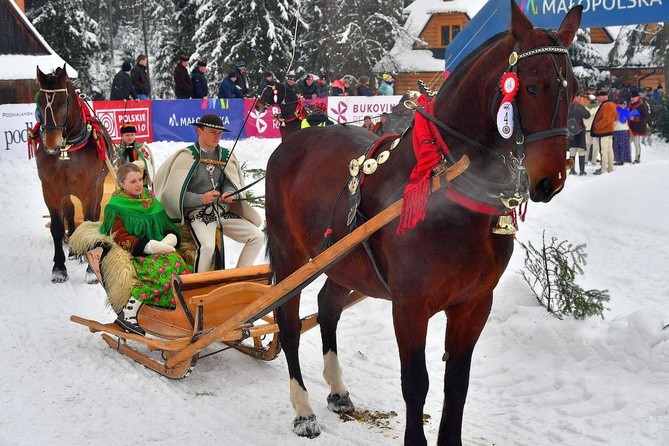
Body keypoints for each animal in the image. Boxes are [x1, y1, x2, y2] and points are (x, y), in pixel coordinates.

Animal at [34, 66, 111, 282]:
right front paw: (59, 268)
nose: (50, 145)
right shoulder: (50, 190)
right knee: (69, 212)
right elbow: (57, 227)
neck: (67, 151)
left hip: (99, 187)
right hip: (67, 192)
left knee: (94, 214)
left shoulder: (90, 190)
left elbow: (89, 220)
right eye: (39, 103)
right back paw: (74, 250)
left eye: (62, 103)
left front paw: (91, 272)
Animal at [264, 3, 580, 446]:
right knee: (289, 324)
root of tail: (291, 139)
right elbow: (416, 383)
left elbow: (457, 383)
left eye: (575, 86)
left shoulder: (473, 304)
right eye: (532, 87)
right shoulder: (410, 306)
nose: (550, 180)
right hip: (290, 256)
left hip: (344, 261)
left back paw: (338, 390)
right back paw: (303, 409)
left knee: (327, 307)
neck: (447, 184)